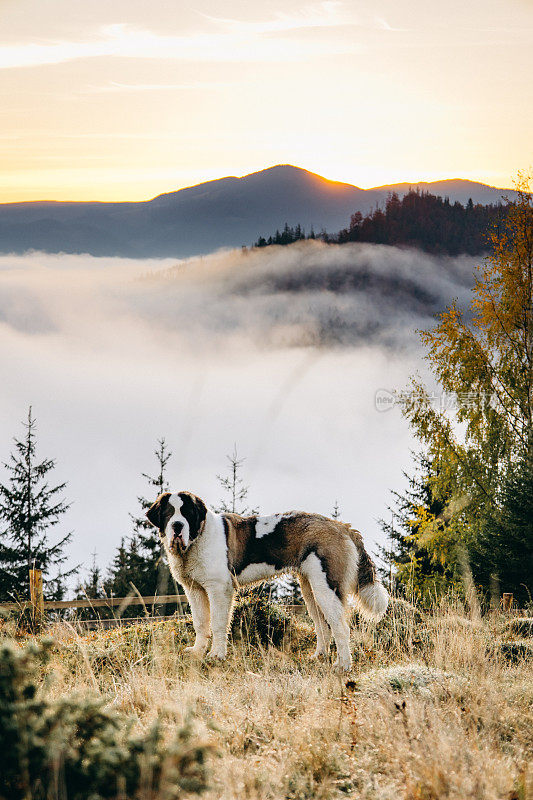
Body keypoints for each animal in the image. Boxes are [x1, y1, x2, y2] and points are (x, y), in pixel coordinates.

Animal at [145, 490, 386, 672]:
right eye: (169, 513)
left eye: (186, 513)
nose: (177, 525)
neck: (198, 538)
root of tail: (341, 525)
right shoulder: (194, 589)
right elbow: (201, 623)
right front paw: (197, 652)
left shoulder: (219, 589)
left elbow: (218, 623)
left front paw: (216, 655)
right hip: (311, 589)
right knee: (322, 625)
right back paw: (319, 656)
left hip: (327, 588)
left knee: (341, 627)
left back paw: (343, 665)